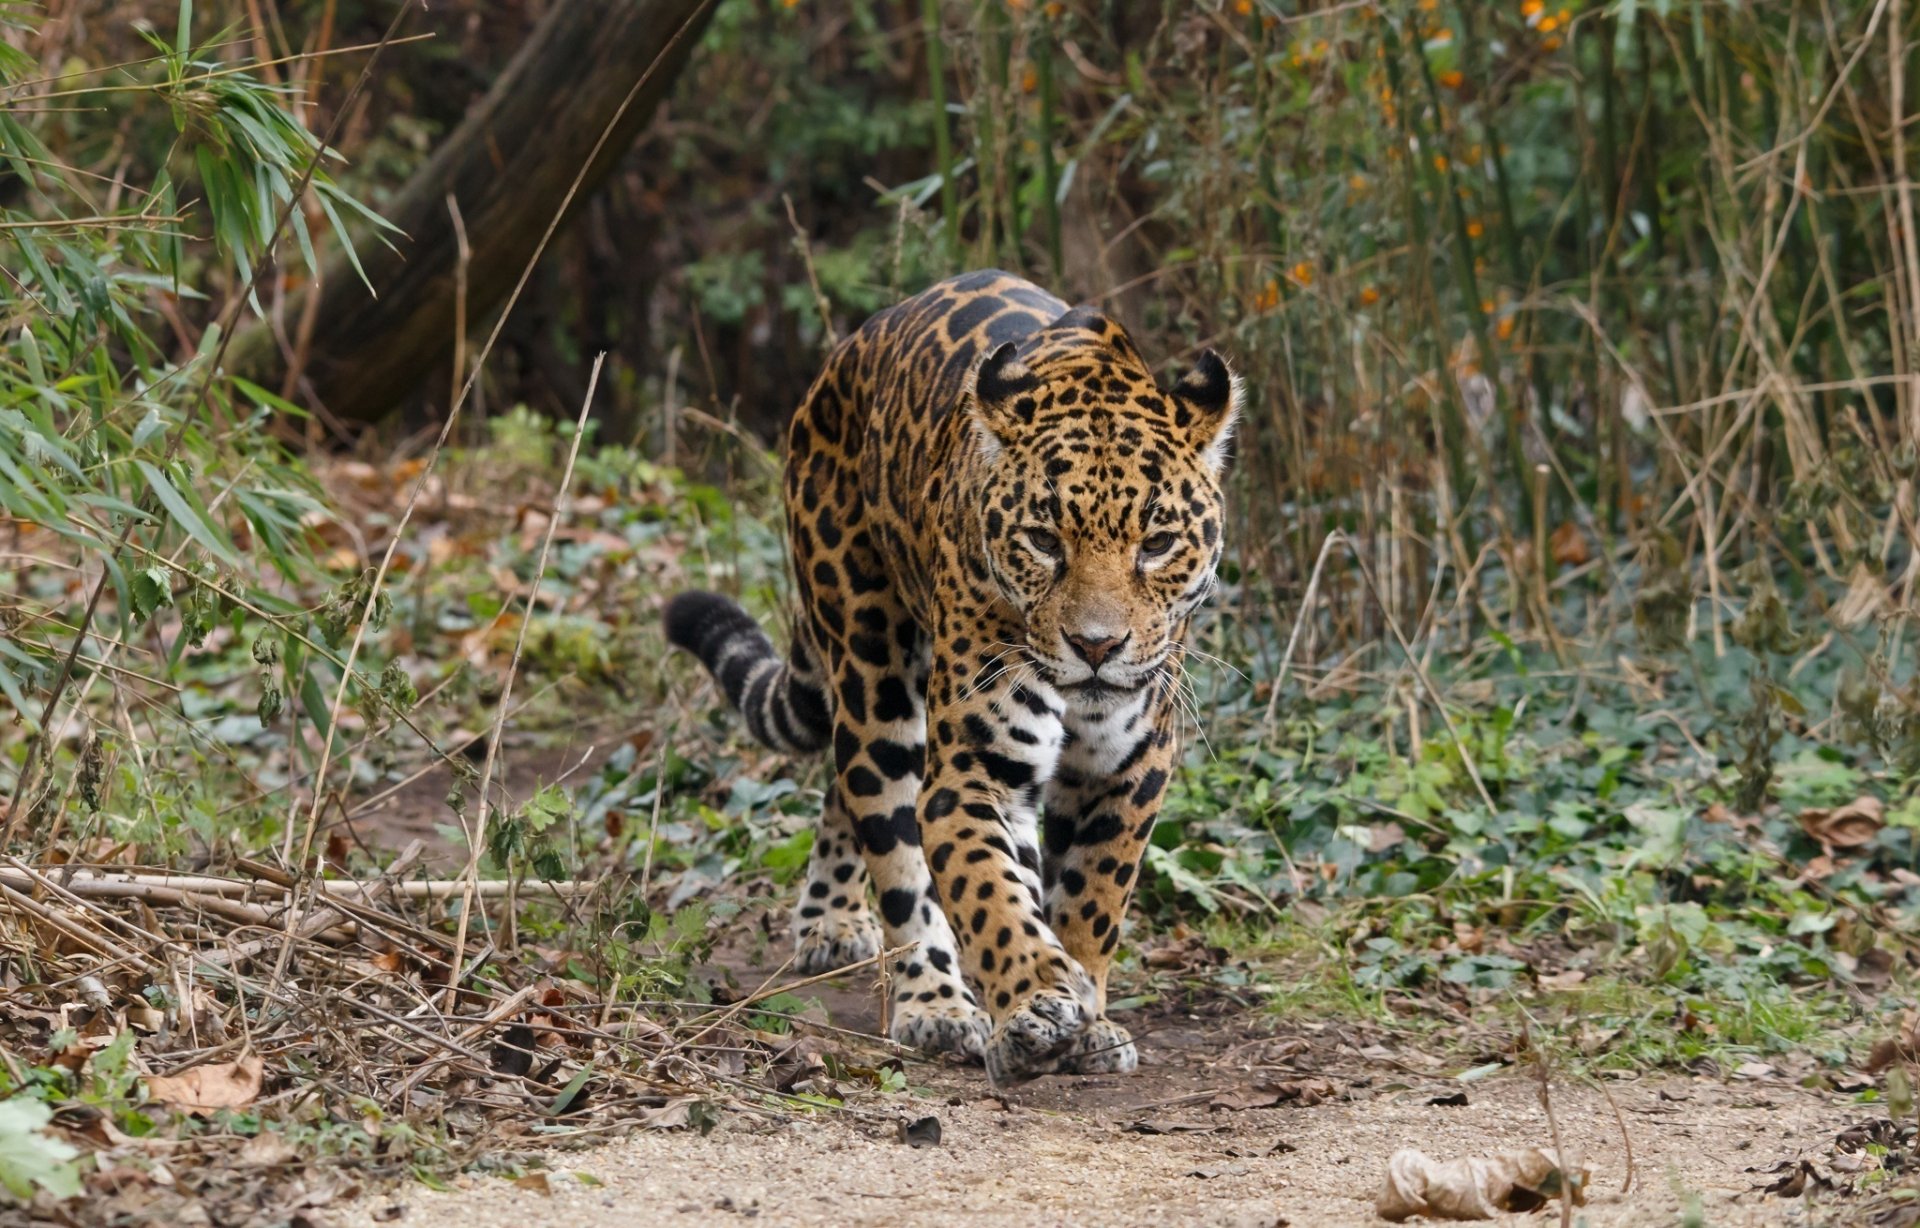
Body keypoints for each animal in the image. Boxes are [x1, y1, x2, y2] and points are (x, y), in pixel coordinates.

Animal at [665, 269, 1240, 1085]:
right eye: (1043, 539)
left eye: (1156, 543)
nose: (1096, 646)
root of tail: (852, 346)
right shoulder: (974, 769)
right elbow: (984, 891)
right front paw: (1034, 1003)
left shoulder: (1131, 767)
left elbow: (1093, 898)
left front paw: (1088, 1015)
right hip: (870, 667)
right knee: (888, 833)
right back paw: (930, 1001)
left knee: (844, 784)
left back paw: (835, 922)